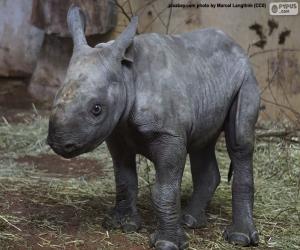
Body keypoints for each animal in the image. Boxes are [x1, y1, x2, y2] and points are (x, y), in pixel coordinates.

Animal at [47, 5, 260, 250]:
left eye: (97, 109)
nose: (58, 143)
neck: (126, 75)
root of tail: (236, 45)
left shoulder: (168, 134)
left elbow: (165, 189)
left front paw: (167, 243)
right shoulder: (117, 132)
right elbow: (124, 178)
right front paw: (122, 225)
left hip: (246, 77)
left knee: (240, 143)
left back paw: (238, 238)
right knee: (201, 142)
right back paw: (190, 220)